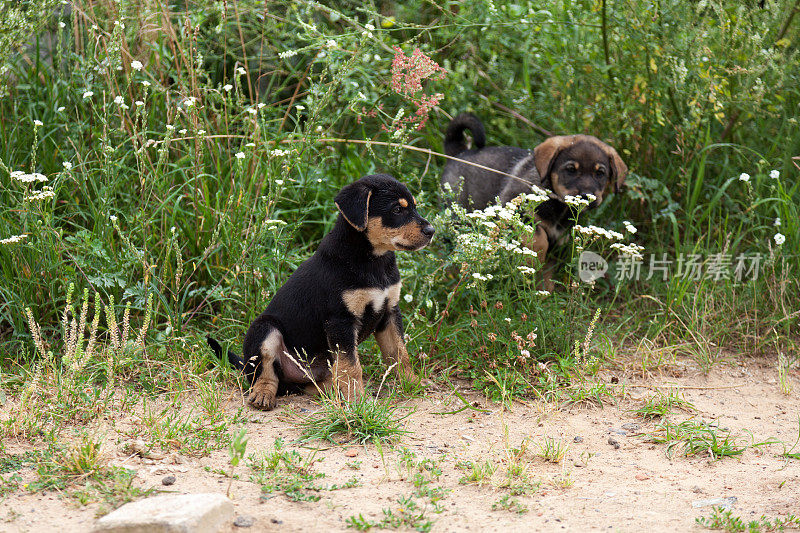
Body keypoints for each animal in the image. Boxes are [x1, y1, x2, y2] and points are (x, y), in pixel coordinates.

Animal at [209, 172, 434, 410]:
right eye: (397, 209)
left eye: (414, 207)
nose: (431, 231)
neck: (373, 260)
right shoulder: (340, 321)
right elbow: (351, 365)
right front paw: (357, 401)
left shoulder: (389, 311)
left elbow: (400, 354)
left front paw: (414, 383)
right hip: (265, 330)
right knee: (265, 373)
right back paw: (263, 395)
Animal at [440, 112, 628, 262]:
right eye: (570, 170)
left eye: (600, 173)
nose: (586, 195)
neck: (557, 205)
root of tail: (458, 152)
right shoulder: (512, 209)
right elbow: (538, 237)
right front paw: (535, 257)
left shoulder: (560, 240)